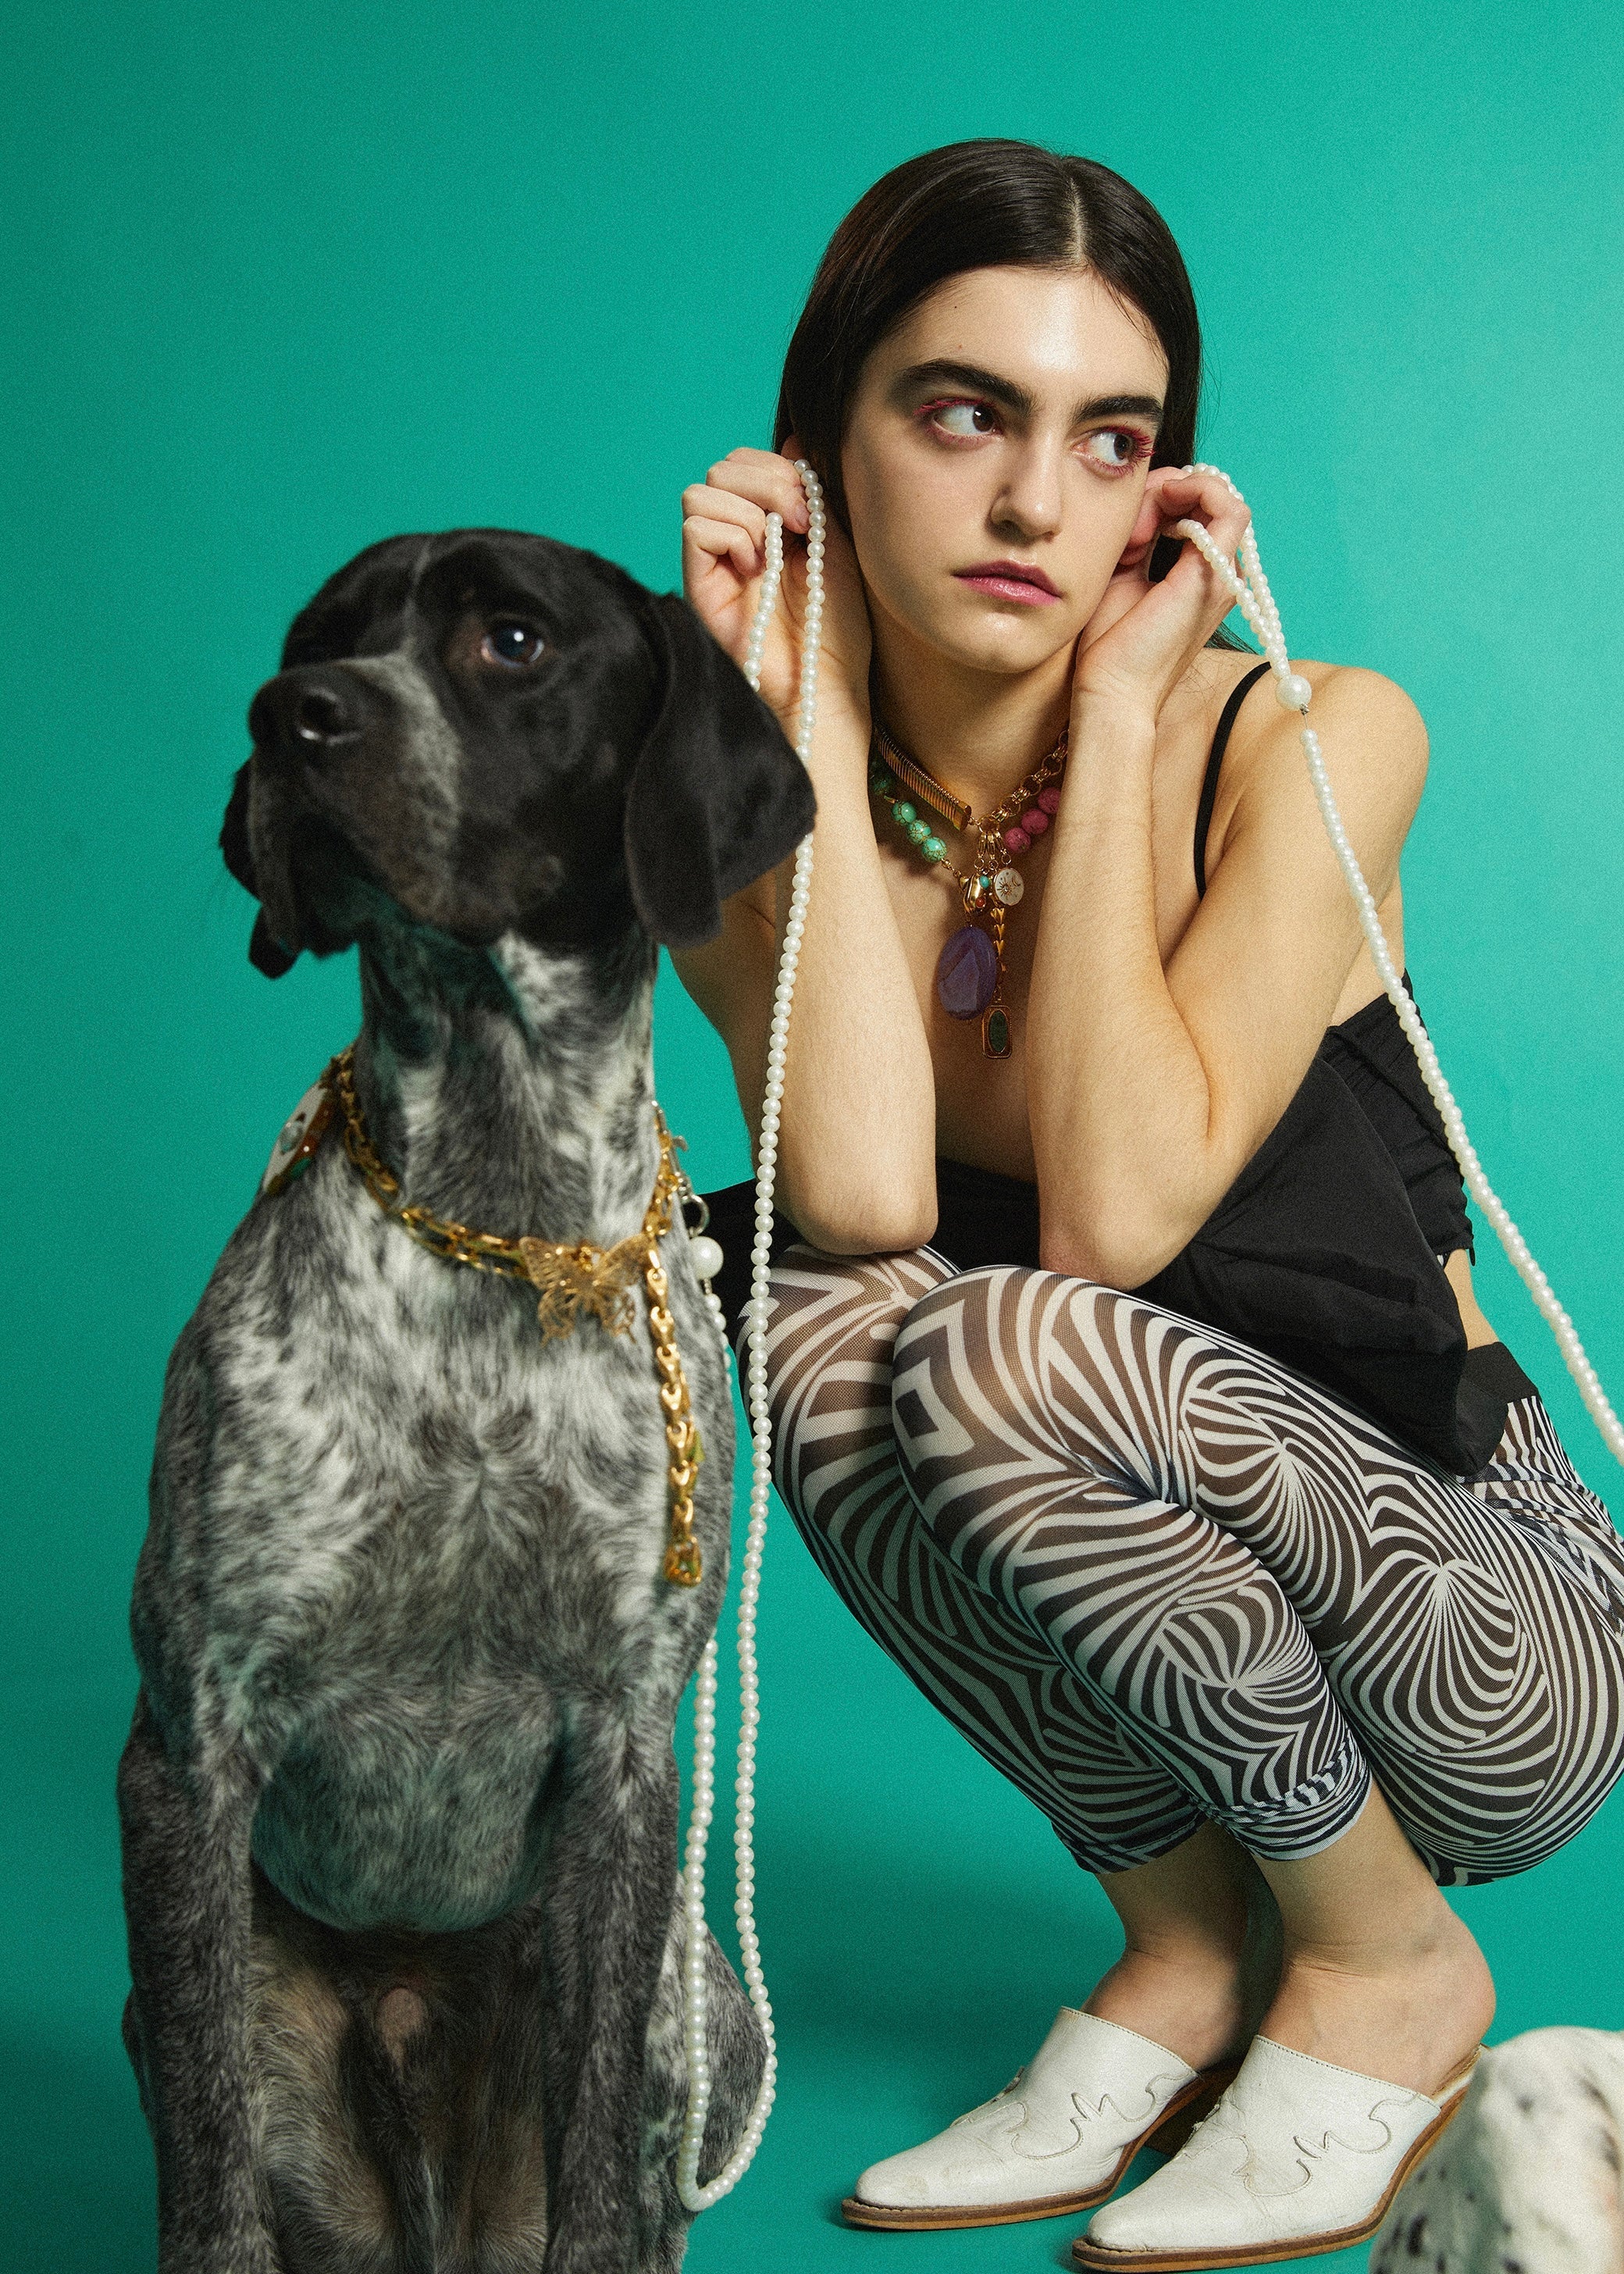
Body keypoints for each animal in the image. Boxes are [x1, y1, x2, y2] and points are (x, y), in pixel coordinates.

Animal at [118, 528, 815, 2274]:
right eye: (314, 638)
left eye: (512, 639)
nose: (293, 715)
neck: (498, 1219)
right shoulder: (190, 1750)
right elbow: (208, 2185)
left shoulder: (626, 1757)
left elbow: (597, 2165)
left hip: (703, 1996)